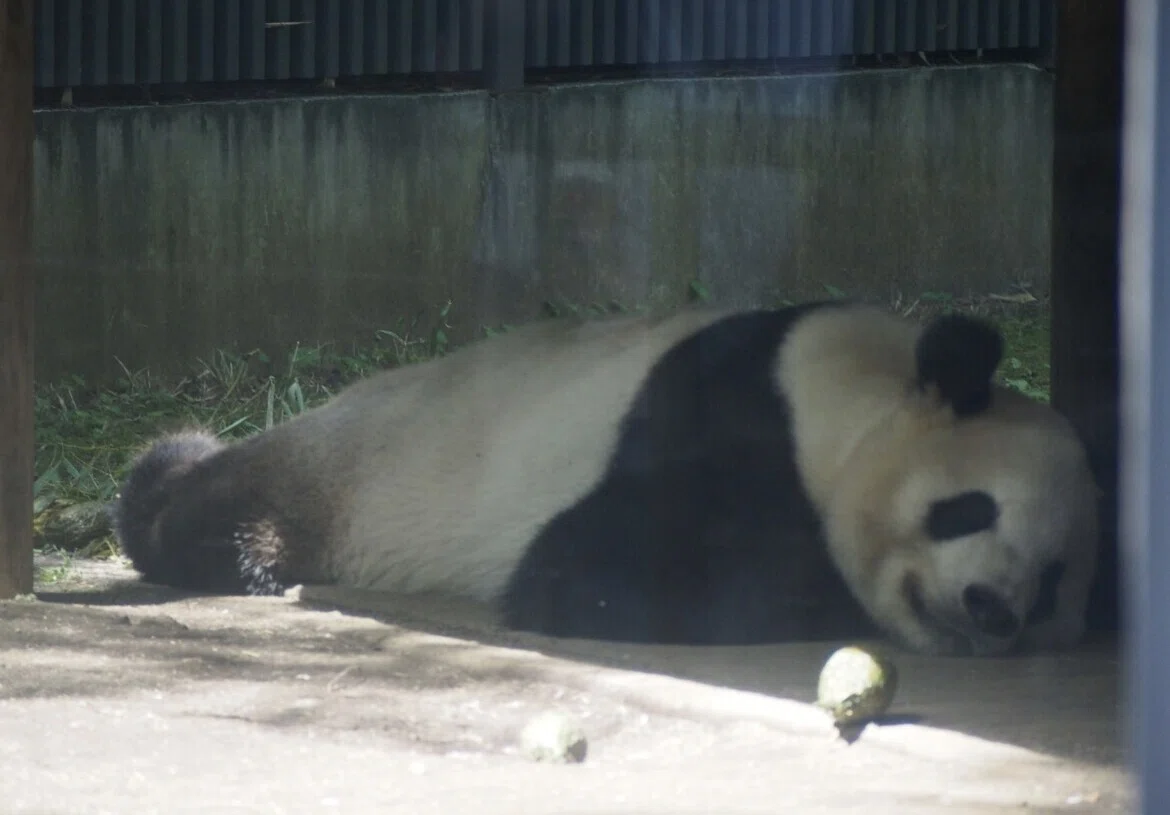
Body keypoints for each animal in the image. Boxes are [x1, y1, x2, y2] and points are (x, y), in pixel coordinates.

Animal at [110, 300, 1100, 657]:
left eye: (1057, 579)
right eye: (966, 510)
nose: (992, 608)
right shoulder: (722, 406)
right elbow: (591, 568)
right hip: (351, 469)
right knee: (223, 512)